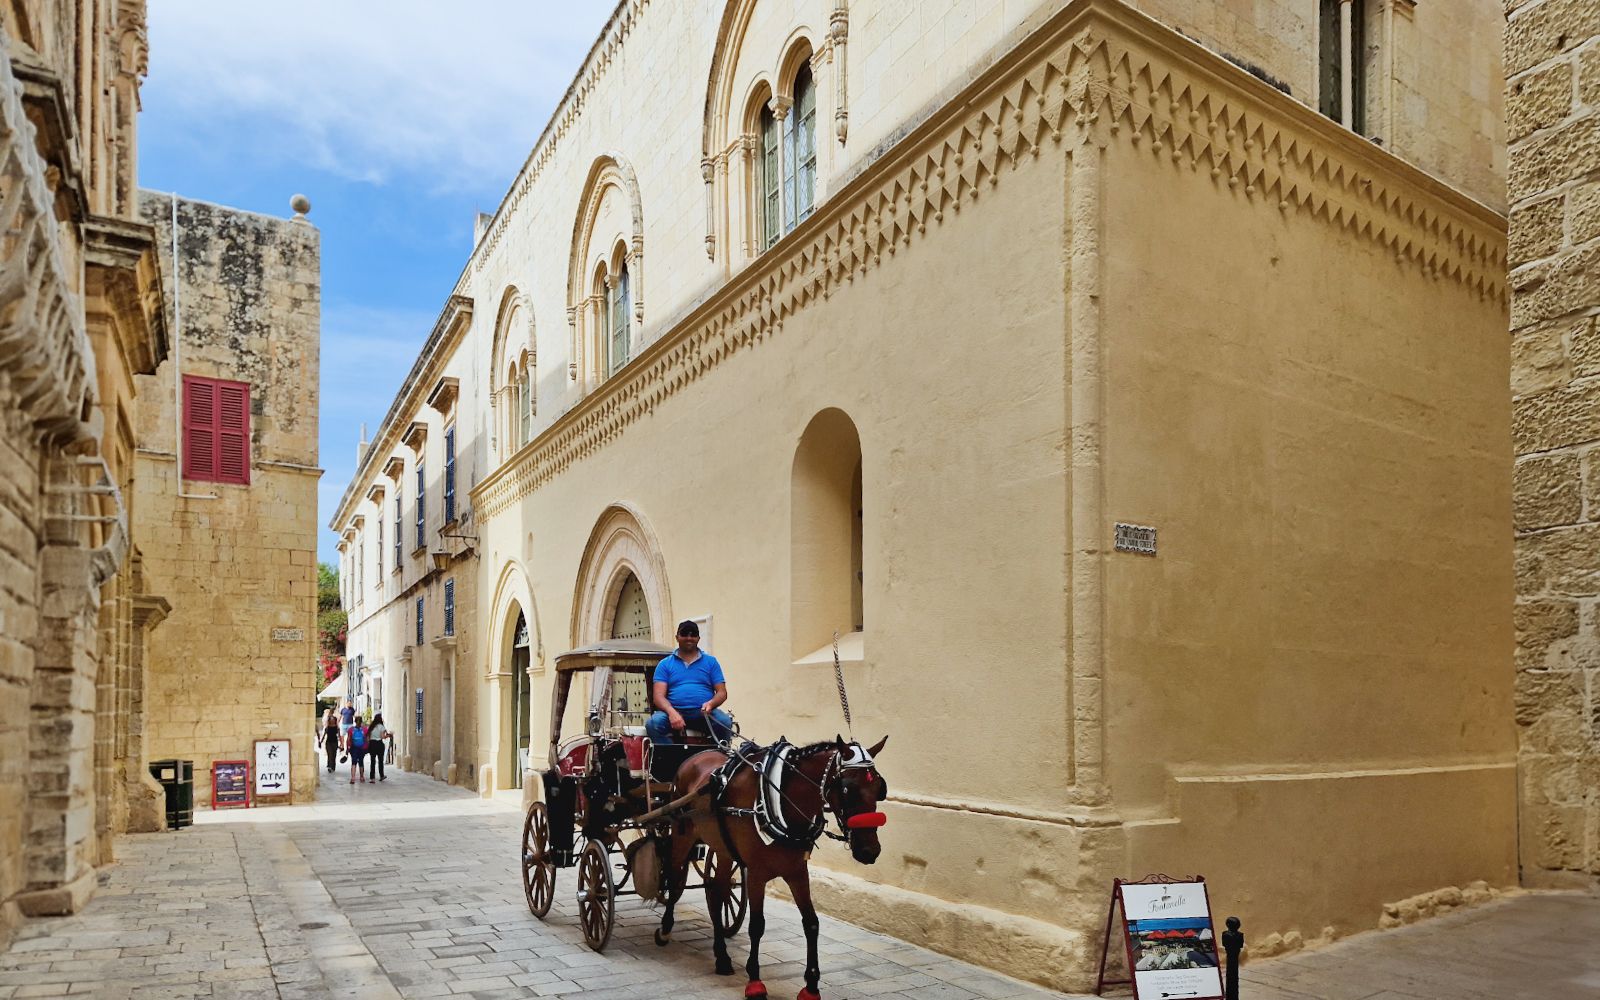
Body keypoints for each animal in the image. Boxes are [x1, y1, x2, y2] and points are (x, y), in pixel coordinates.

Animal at [656, 732, 896, 998]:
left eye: (880, 788)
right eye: (847, 788)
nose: (869, 851)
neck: (780, 801)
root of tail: (694, 757)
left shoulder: (797, 872)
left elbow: (811, 923)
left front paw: (811, 985)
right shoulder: (756, 874)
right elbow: (757, 925)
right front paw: (754, 980)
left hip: (723, 848)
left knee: (717, 892)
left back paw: (722, 957)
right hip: (683, 835)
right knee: (674, 878)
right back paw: (666, 929)